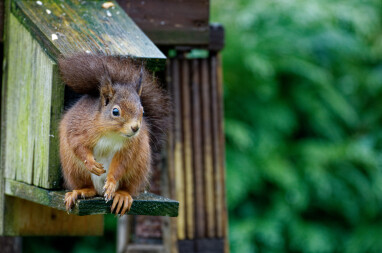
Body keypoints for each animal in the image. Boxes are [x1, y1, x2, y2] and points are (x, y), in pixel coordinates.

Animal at [57, 53, 170, 215]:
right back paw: (79, 191)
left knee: (127, 187)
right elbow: (77, 145)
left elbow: (121, 163)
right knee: (88, 187)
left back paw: (122, 196)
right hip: (73, 169)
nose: (135, 128)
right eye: (115, 111)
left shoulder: (130, 146)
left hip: (138, 168)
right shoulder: (78, 128)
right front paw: (91, 163)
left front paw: (111, 182)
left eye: (143, 111)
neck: (112, 134)